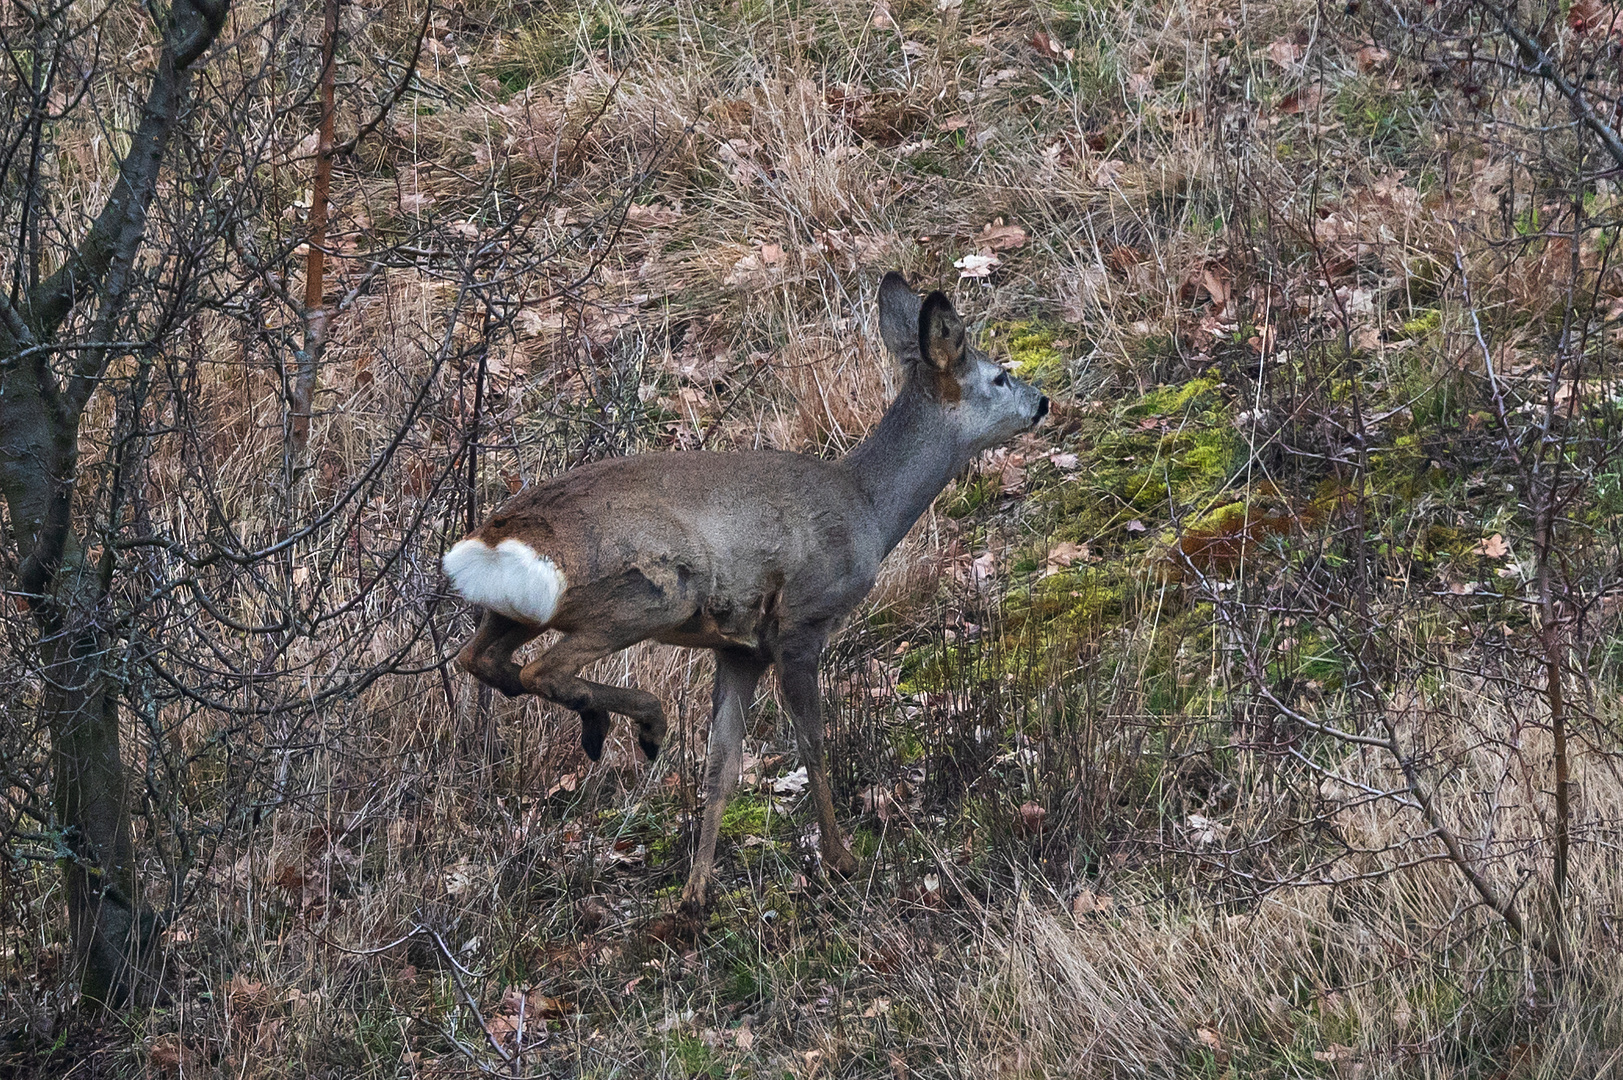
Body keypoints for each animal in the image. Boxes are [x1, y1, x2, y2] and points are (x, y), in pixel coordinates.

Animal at [447, 274, 1051, 915]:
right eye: (1000, 377)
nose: (1043, 402)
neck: (866, 509)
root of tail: (496, 539)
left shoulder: (739, 648)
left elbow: (722, 765)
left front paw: (694, 895)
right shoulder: (802, 620)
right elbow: (812, 742)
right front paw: (840, 859)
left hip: (517, 612)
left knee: (478, 657)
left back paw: (607, 726)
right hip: (649, 592)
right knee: (541, 669)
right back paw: (642, 723)